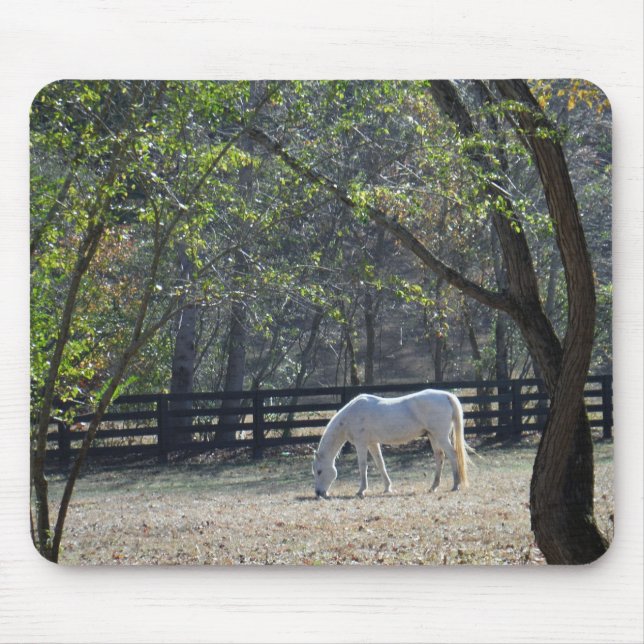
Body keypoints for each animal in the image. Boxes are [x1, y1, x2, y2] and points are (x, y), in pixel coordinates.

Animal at [312, 389, 472, 499]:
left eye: (319, 471)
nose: (319, 493)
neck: (351, 415)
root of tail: (446, 396)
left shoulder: (361, 444)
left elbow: (362, 466)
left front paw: (361, 490)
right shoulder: (372, 443)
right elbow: (380, 464)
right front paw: (387, 488)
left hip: (441, 436)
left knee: (453, 455)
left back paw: (456, 485)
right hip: (433, 436)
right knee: (440, 457)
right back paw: (434, 486)